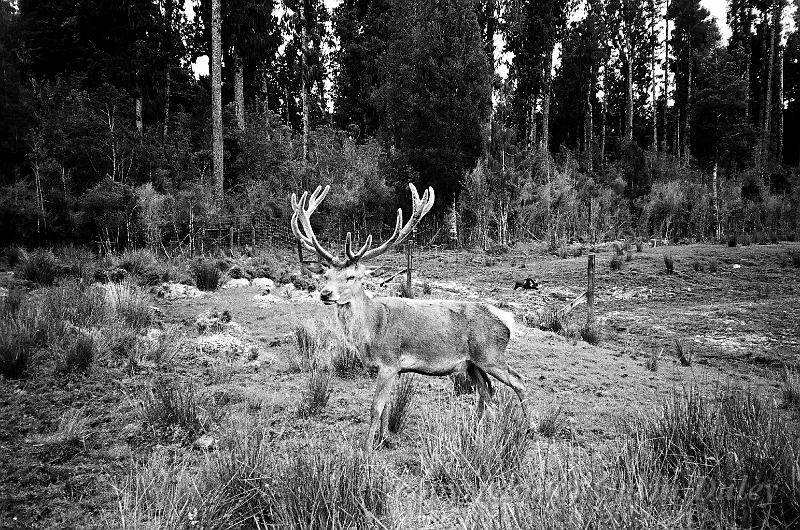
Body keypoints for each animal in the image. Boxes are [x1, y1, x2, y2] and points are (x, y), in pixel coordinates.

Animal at [290, 183, 528, 450]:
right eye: (326, 275)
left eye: (352, 276)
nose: (325, 293)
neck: (372, 329)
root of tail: (507, 319)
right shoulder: (393, 368)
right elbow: (387, 406)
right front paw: (385, 438)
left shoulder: (389, 361)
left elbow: (376, 407)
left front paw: (366, 448)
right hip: (472, 364)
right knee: (487, 392)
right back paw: (475, 430)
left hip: (490, 354)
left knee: (518, 381)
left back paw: (531, 428)